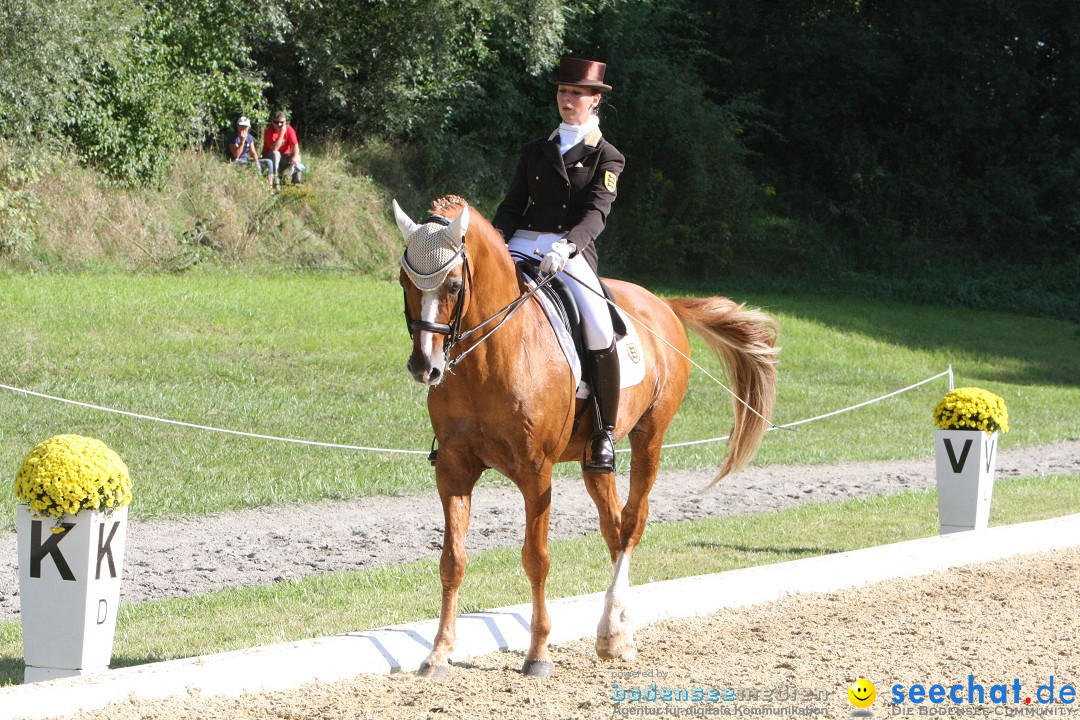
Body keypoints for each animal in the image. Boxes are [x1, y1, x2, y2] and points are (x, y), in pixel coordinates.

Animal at [390, 194, 777, 677]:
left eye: (454, 285)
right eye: (404, 279)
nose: (425, 367)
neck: (490, 357)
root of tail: (662, 304)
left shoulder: (536, 473)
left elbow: (536, 559)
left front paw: (538, 654)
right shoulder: (453, 470)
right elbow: (452, 560)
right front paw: (439, 652)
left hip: (651, 436)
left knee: (632, 523)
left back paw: (611, 631)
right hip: (595, 460)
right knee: (613, 525)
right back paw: (618, 634)